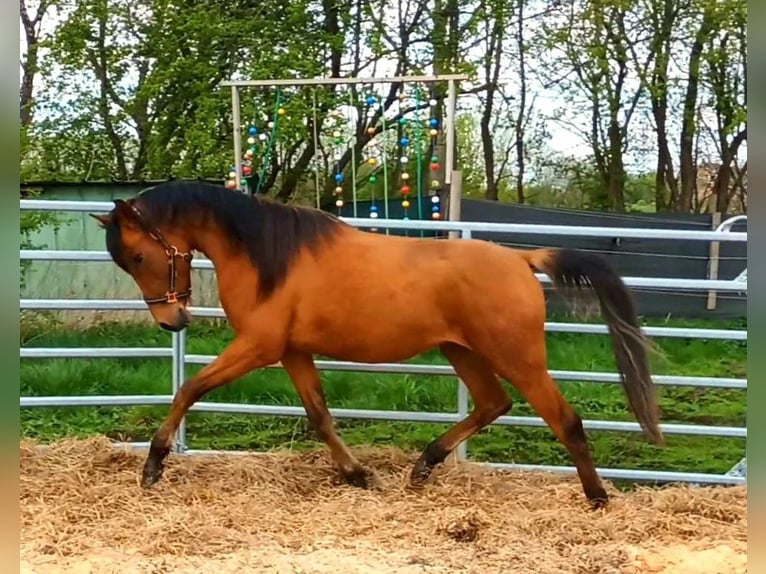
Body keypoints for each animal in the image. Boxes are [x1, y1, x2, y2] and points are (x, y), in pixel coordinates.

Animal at [90, 180, 663, 509]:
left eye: (137, 256)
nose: (172, 322)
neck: (269, 256)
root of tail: (521, 260)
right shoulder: (292, 351)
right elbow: (320, 415)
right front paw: (357, 475)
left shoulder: (258, 345)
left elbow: (188, 389)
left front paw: (153, 466)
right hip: (462, 351)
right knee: (492, 403)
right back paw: (423, 467)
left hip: (517, 357)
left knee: (564, 419)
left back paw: (597, 498)